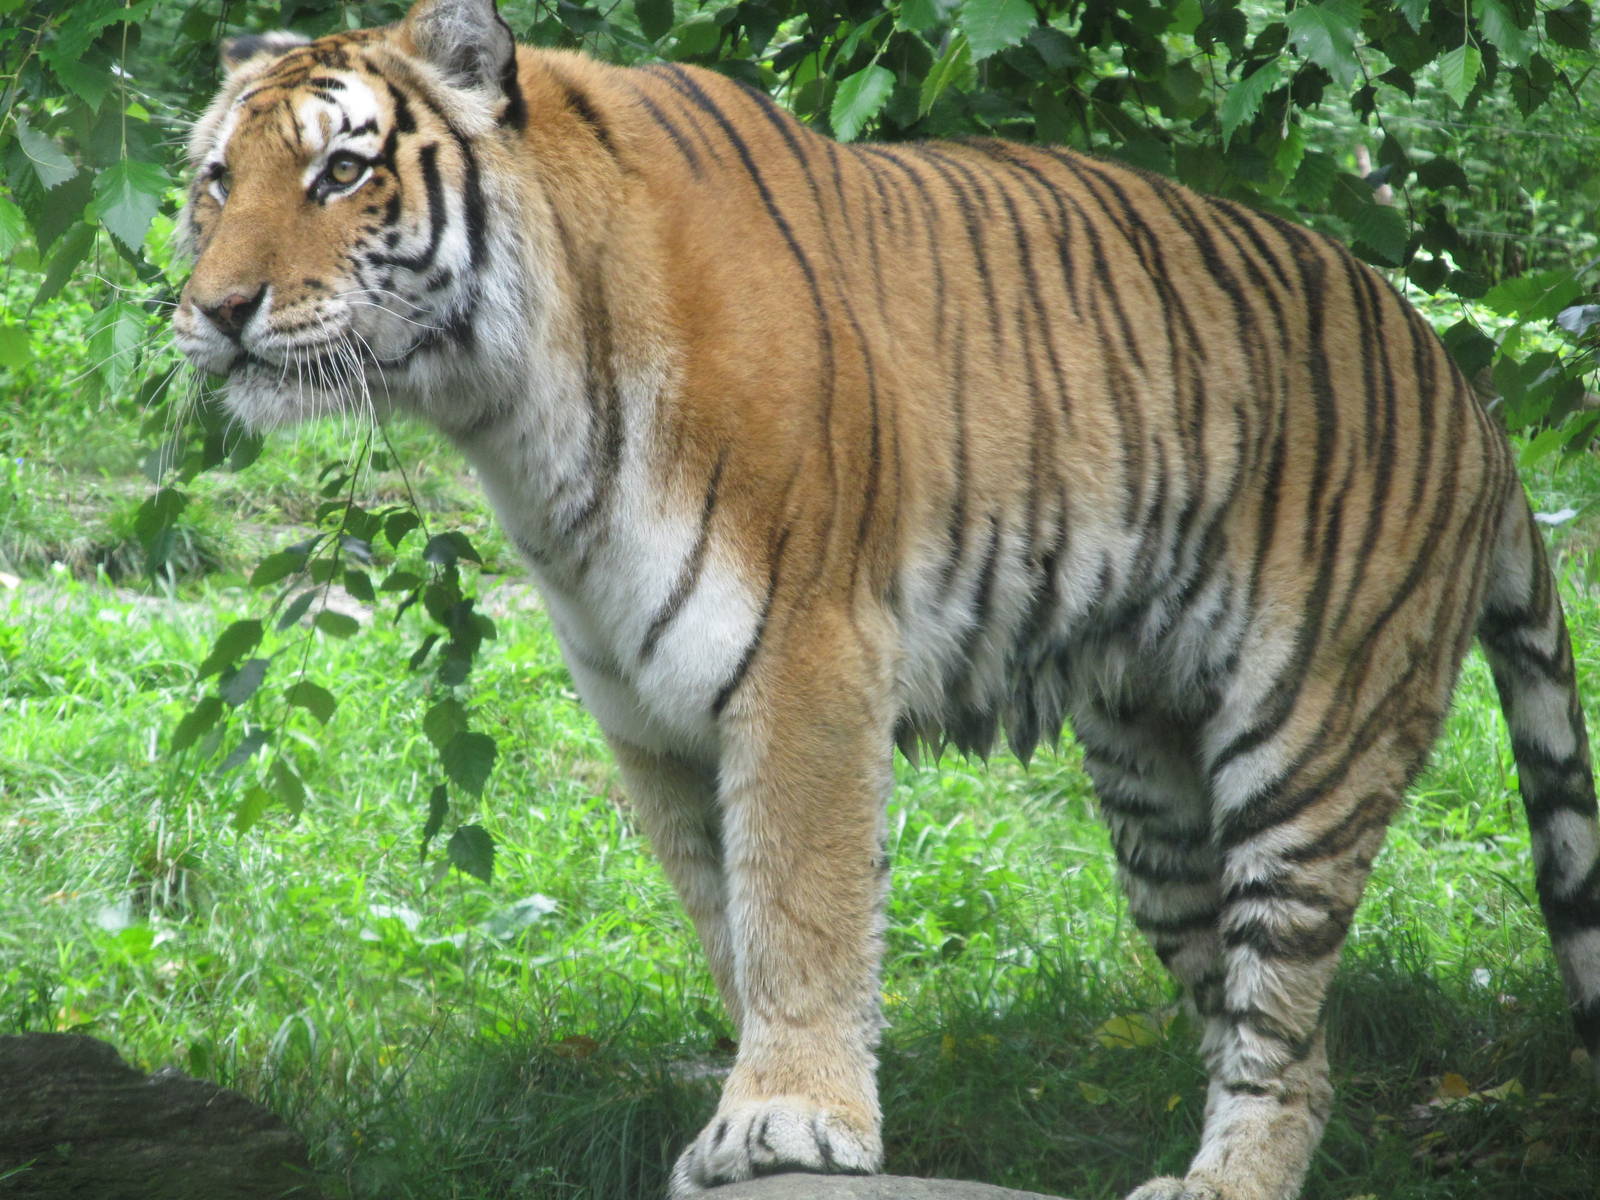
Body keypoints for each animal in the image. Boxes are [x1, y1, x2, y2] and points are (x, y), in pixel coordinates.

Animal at [170, 1, 1600, 1197]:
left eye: (341, 174)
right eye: (217, 182)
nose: (218, 310)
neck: (508, 406)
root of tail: (1467, 391)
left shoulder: (804, 653)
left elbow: (801, 905)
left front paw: (789, 1118)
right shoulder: (643, 707)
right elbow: (729, 917)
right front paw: (762, 1097)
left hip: (1309, 743)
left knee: (1283, 1020)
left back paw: (1224, 1182)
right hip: (1154, 793)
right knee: (1275, 1029)